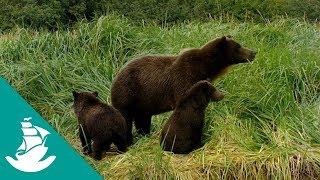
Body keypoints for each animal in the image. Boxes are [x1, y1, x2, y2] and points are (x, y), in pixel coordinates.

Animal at [111, 35, 256, 144]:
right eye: (238, 46)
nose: (253, 52)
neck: (204, 67)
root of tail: (116, 75)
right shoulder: (183, 79)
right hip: (127, 93)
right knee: (125, 119)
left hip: (143, 102)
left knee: (143, 119)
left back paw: (145, 135)